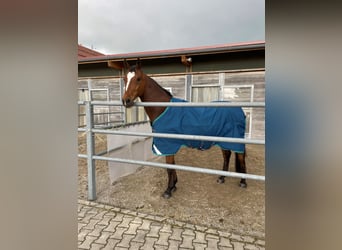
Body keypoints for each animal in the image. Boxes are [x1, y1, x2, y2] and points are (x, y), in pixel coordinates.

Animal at [121, 59, 247, 198]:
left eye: (138, 79)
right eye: (125, 79)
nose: (126, 100)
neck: (163, 108)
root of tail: (240, 110)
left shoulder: (167, 144)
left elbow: (169, 167)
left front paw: (168, 190)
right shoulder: (170, 145)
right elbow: (173, 165)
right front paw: (174, 185)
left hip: (234, 138)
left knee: (240, 157)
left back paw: (243, 182)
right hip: (223, 139)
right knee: (227, 155)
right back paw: (222, 178)